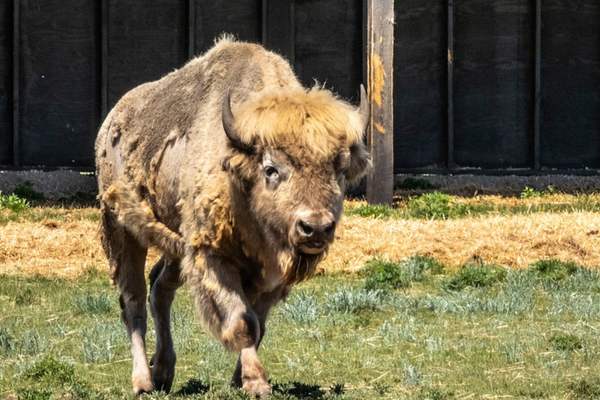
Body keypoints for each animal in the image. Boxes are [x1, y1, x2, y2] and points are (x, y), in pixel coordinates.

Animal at [95, 36, 368, 396]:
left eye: (339, 170)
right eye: (271, 169)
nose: (316, 227)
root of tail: (112, 120)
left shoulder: (271, 275)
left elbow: (259, 323)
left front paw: (241, 379)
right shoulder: (213, 257)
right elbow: (242, 321)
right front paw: (256, 383)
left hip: (177, 245)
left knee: (160, 289)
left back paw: (164, 371)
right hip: (121, 229)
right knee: (133, 299)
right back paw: (143, 381)